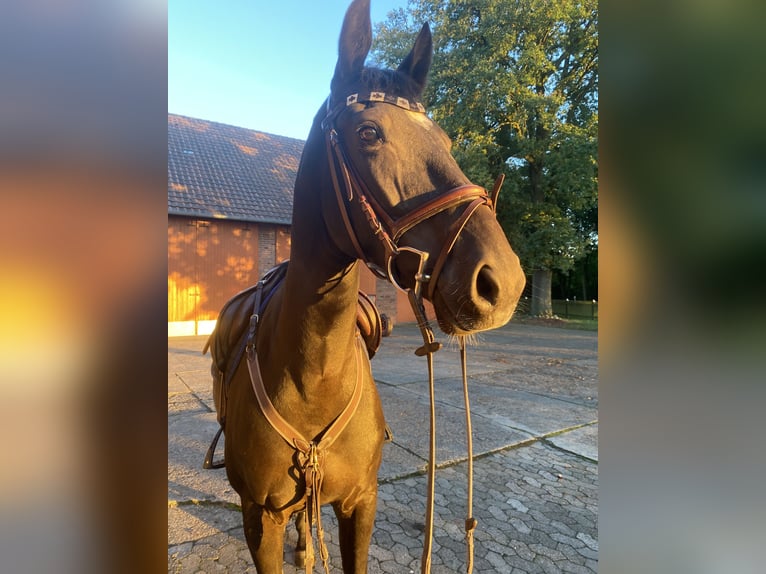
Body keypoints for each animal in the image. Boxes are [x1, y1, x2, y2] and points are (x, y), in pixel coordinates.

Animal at [206, 2, 528, 572]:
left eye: (446, 141)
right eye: (369, 133)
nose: (503, 282)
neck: (311, 378)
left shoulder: (361, 503)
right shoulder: (258, 518)